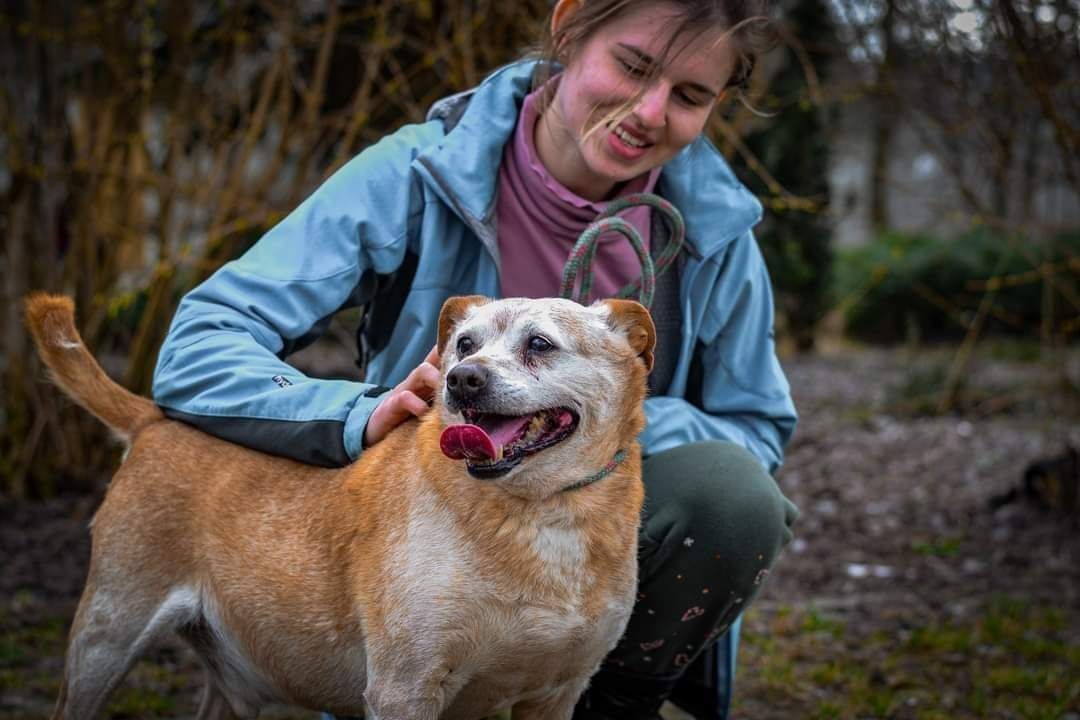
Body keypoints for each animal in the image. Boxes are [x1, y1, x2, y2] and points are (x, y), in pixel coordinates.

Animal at [25, 293, 652, 720]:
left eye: (539, 344)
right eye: (464, 344)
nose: (460, 379)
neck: (542, 511)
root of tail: (153, 418)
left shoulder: (558, 693)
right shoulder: (403, 689)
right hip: (106, 636)